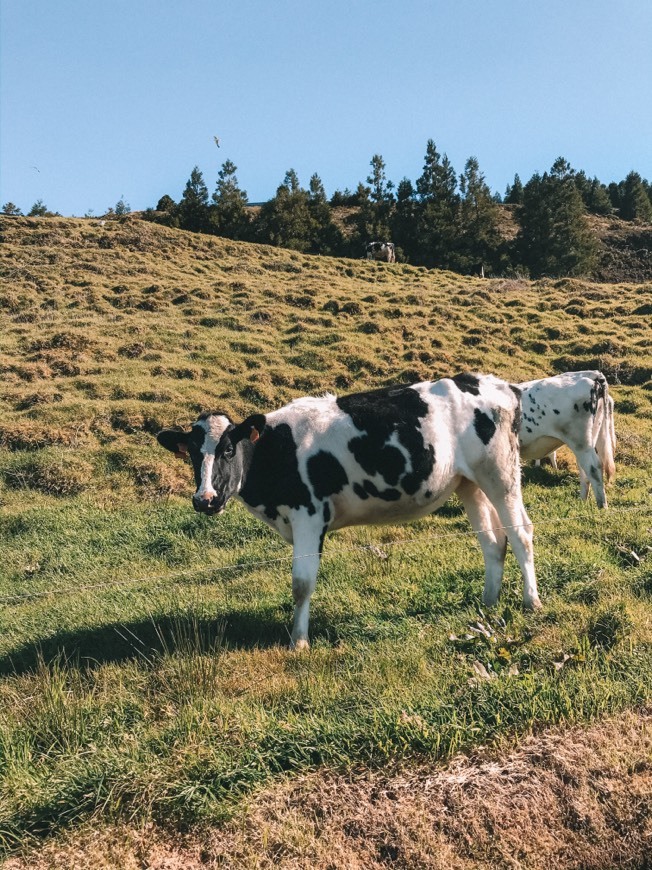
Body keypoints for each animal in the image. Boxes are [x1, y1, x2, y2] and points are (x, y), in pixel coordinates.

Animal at [157, 372, 540, 652]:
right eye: (192, 454)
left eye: (228, 450)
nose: (205, 499)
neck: (277, 450)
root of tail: (496, 383)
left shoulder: (309, 515)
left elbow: (301, 583)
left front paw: (299, 642)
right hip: (469, 483)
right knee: (493, 542)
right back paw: (488, 603)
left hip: (501, 474)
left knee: (520, 533)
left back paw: (531, 602)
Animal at [516, 372, 616, 508]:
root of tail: (592, 375)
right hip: (588, 440)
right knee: (584, 469)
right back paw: (582, 503)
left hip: (580, 441)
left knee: (594, 468)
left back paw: (602, 506)